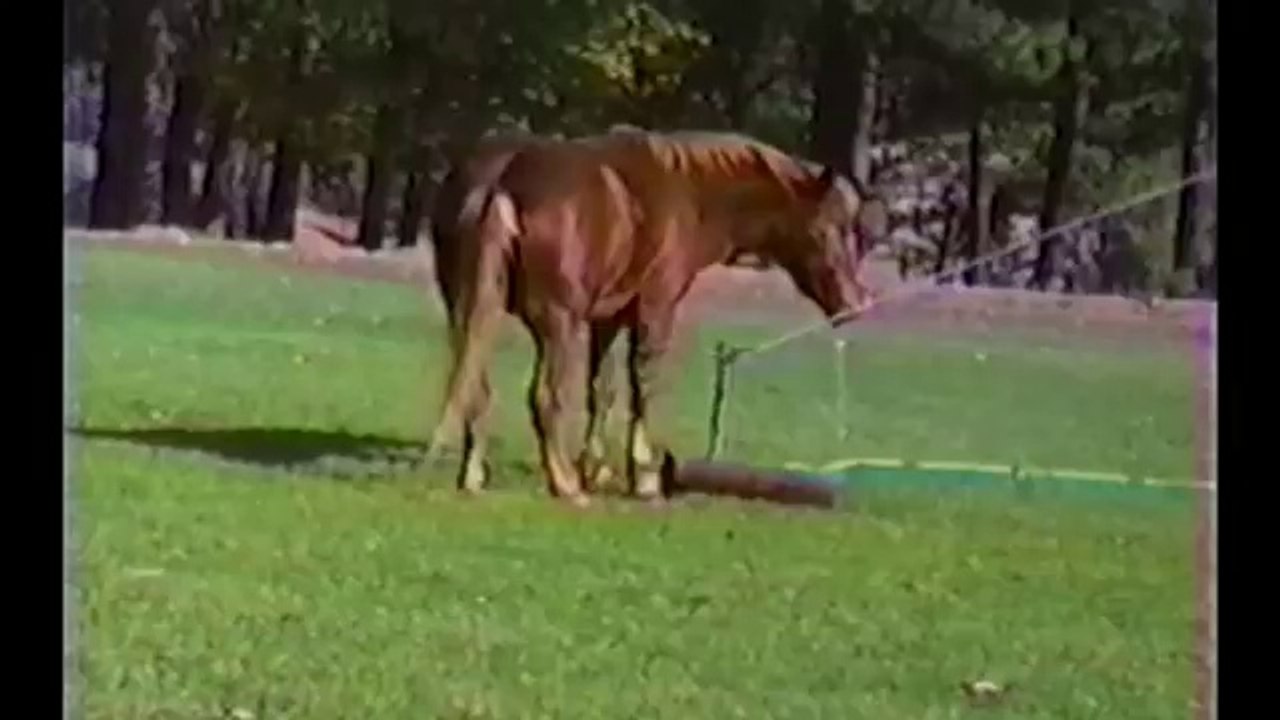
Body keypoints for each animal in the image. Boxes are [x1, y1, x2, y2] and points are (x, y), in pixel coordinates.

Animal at [431, 130, 882, 504]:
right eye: (829, 227)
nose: (855, 302)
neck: (688, 192)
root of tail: (499, 185)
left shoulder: (607, 318)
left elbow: (603, 391)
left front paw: (598, 469)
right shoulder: (655, 308)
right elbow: (644, 383)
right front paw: (645, 478)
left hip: (471, 312)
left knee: (477, 389)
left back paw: (475, 477)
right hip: (557, 323)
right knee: (545, 397)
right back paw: (566, 485)